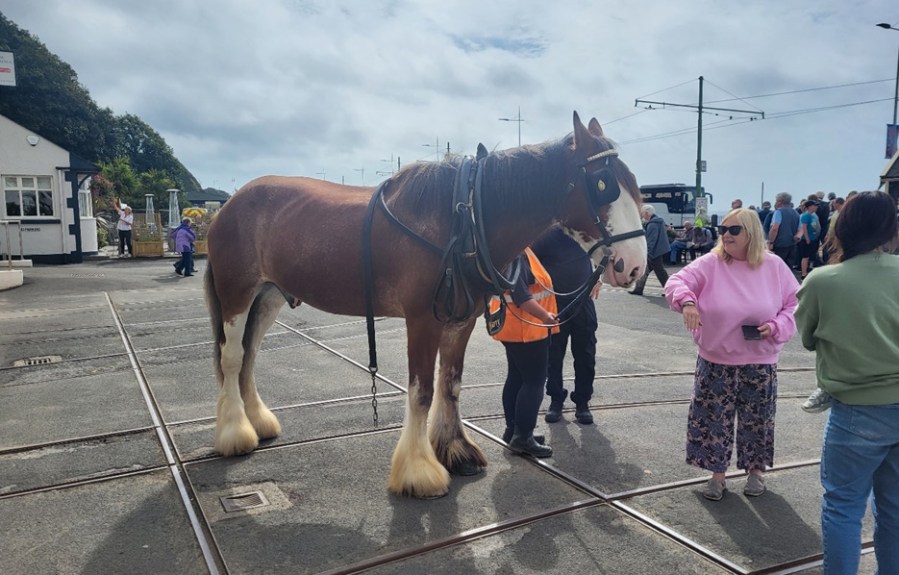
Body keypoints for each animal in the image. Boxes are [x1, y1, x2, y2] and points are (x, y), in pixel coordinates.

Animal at [204, 112, 647, 498]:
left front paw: (454, 450)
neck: (463, 218)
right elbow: (421, 390)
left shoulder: (460, 320)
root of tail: (231, 204)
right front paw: (418, 471)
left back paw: (257, 421)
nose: (635, 266)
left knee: (250, 354)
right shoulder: (421, 320)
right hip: (237, 294)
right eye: (603, 184)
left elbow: (450, 383)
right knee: (232, 357)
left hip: (268, 296)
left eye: (633, 181)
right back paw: (234, 434)